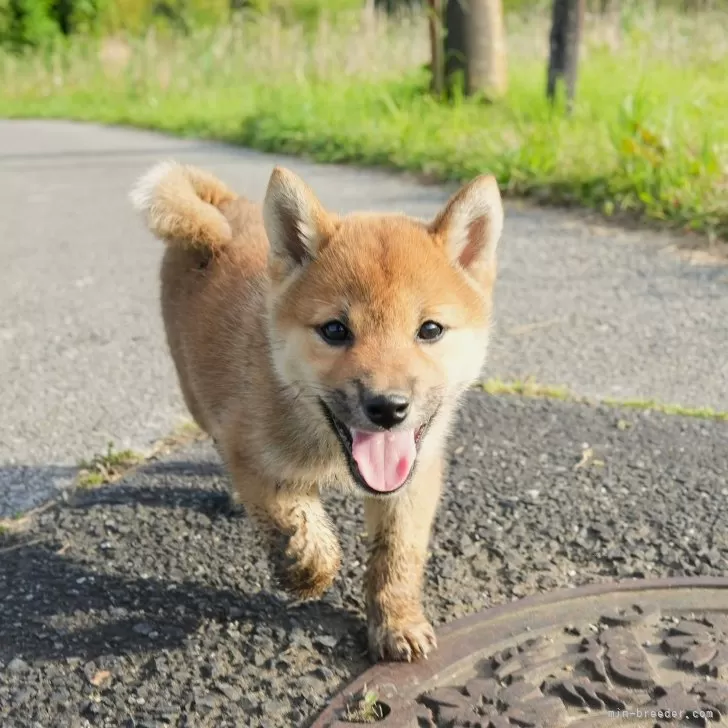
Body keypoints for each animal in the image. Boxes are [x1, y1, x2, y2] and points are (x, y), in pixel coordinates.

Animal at [131, 162, 504, 664]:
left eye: (429, 330)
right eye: (335, 330)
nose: (387, 407)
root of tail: (220, 203)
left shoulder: (415, 476)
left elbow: (398, 555)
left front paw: (397, 621)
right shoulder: (250, 454)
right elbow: (297, 520)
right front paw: (307, 570)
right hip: (196, 394)